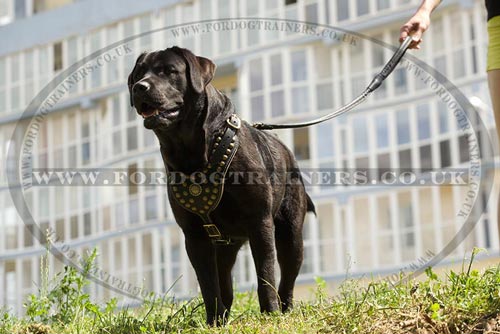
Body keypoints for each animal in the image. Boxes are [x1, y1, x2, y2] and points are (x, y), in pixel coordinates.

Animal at [129, 46, 316, 324]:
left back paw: (285, 310)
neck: (191, 149)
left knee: (288, 276)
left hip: (291, 233)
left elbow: (265, 274)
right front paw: (213, 322)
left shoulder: (260, 222)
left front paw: (269, 313)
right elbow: (208, 284)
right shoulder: (194, 234)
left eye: (169, 71)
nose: (139, 87)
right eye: (138, 74)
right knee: (225, 283)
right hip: (225, 246)